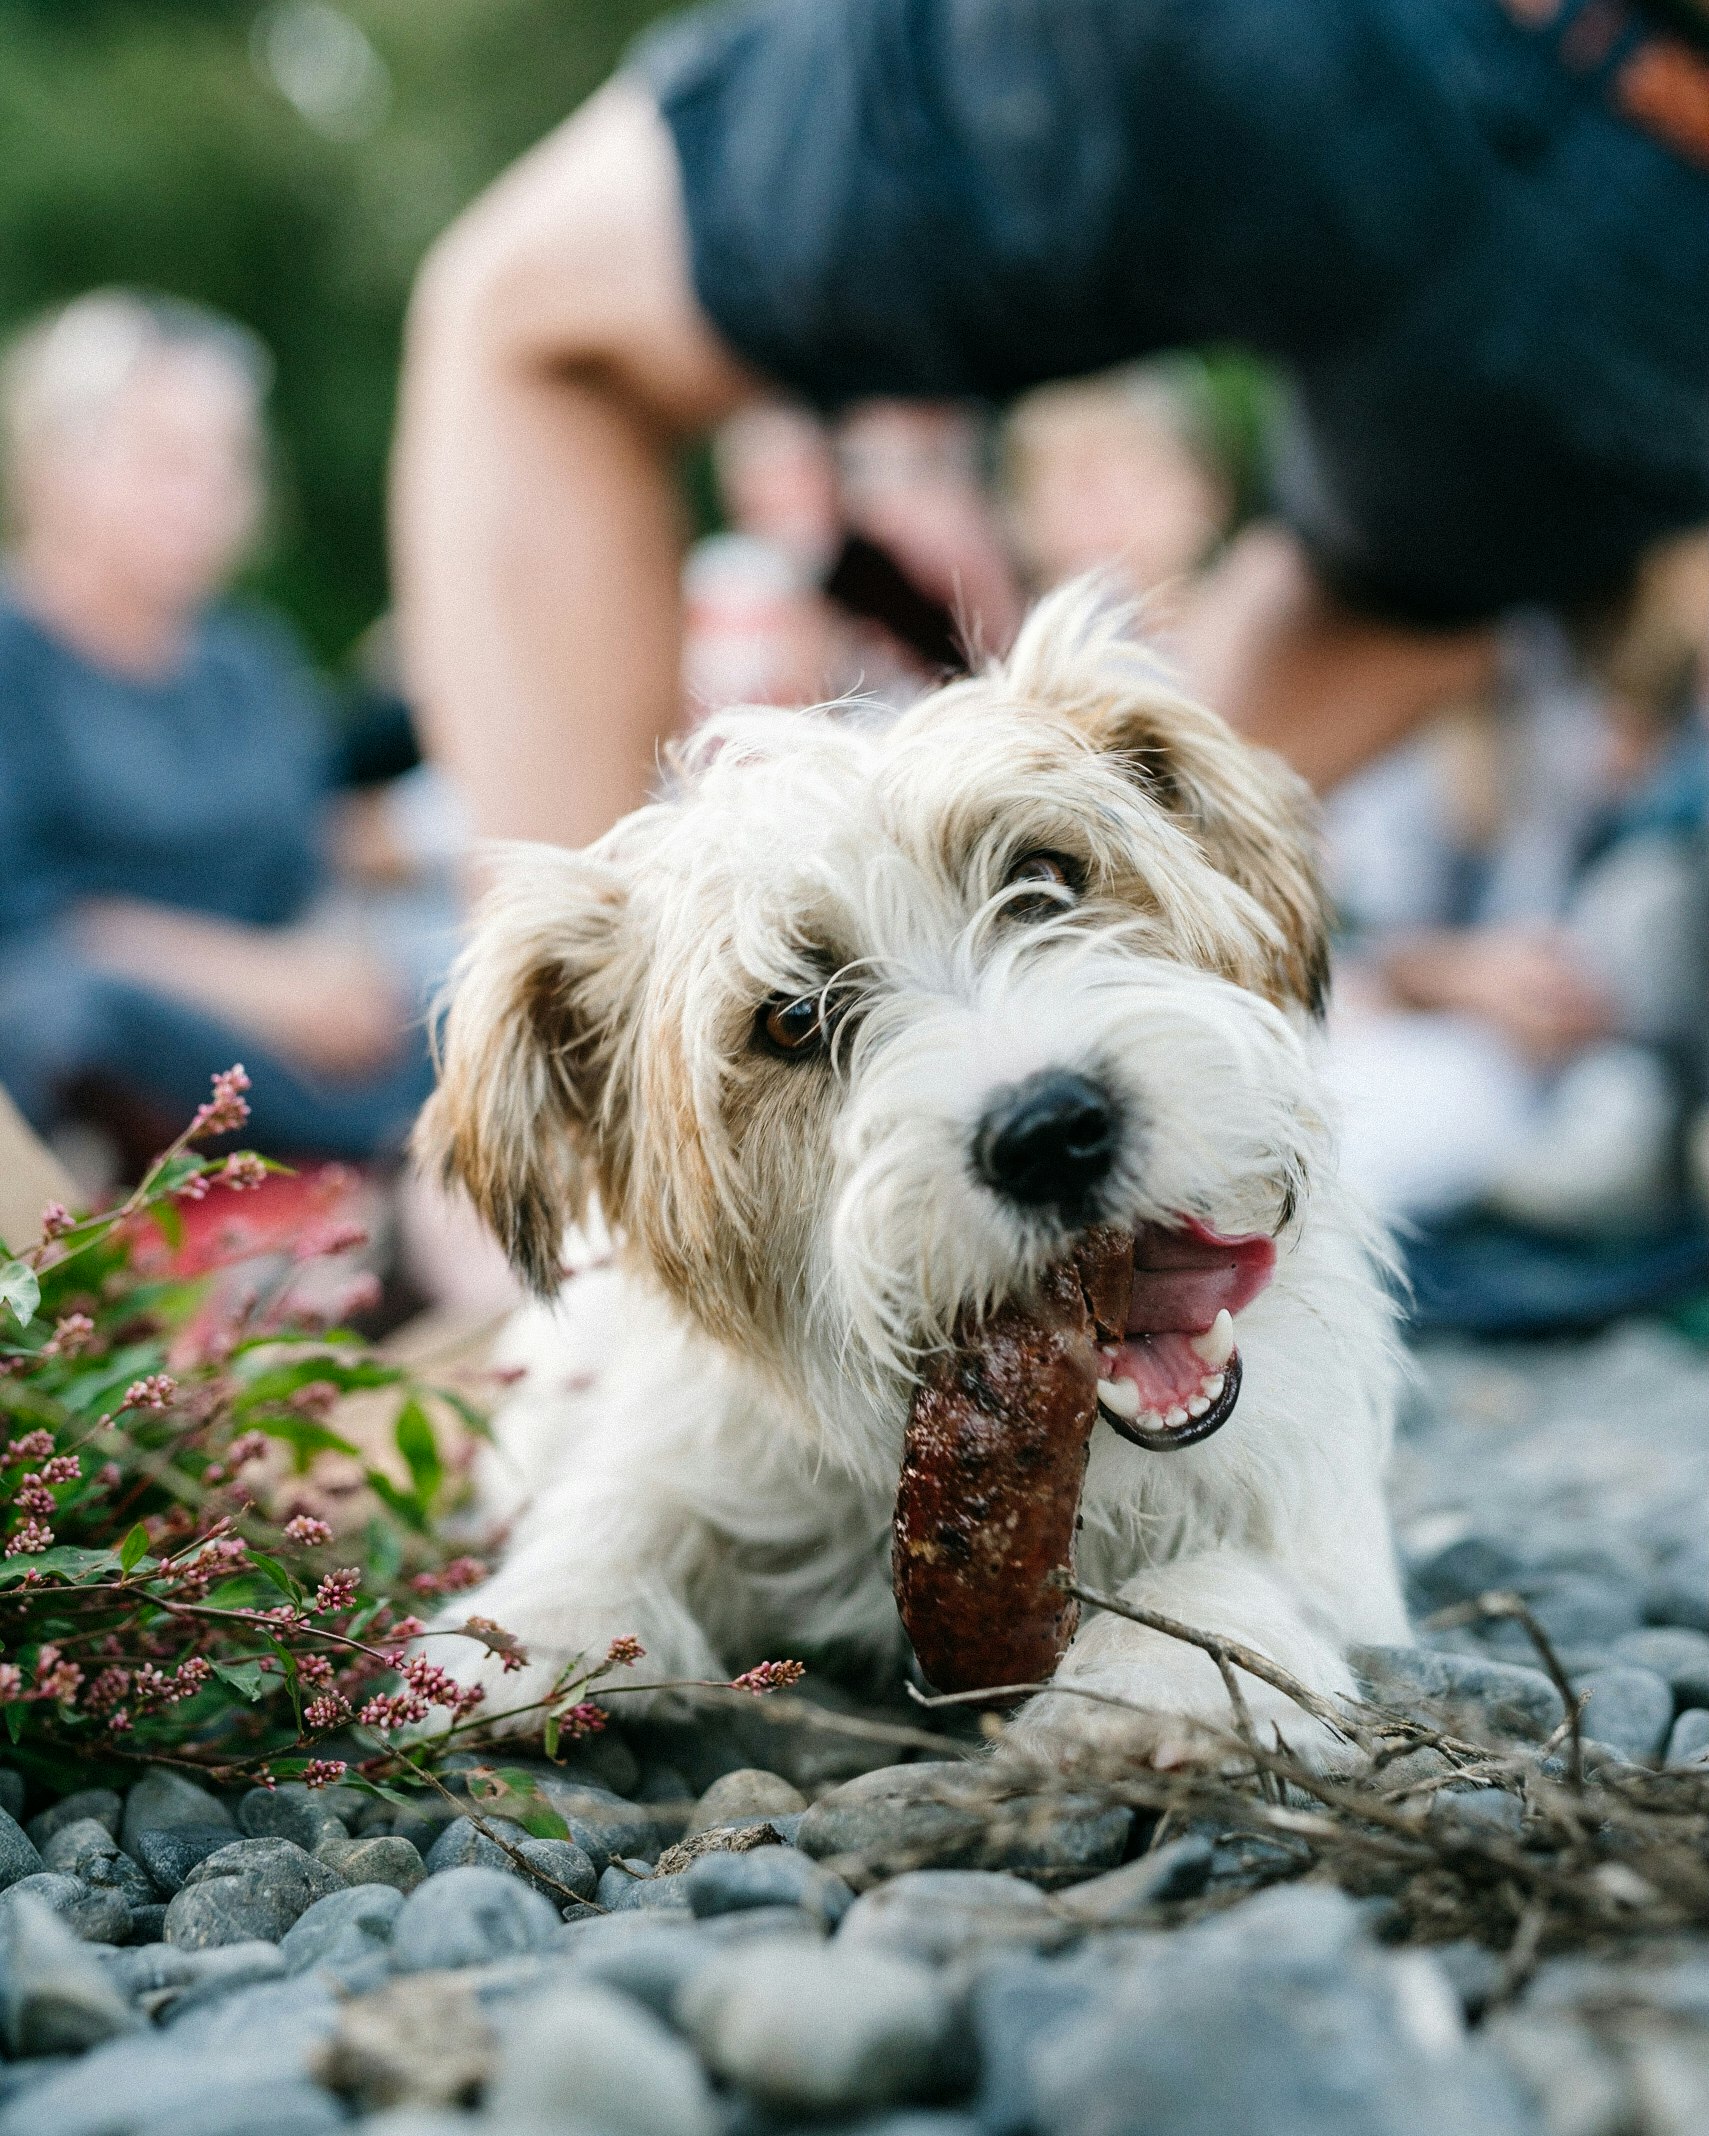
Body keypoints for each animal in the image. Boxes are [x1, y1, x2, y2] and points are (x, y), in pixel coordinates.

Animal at [414, 589, 1401, 1768]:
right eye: (793, 1019)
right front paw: (522, 1625)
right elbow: (623, 1502)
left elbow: (1243, 1564)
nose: (1049, 1132)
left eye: (1044, 879)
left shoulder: (1315, 1506)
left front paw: (1170, 1678)